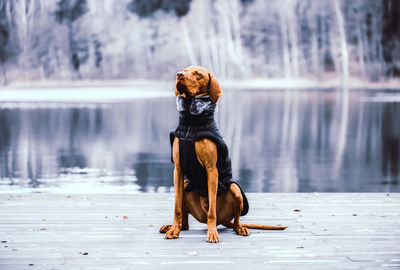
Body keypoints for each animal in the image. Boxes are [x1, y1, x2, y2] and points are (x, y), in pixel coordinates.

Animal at [158, 65, 286, 243]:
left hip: (234, 189)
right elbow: (176, 207)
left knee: (233, 219)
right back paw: (172, 227)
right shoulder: (178, 170)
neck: (191, 124)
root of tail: (224, 221)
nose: (179, 75)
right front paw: (173, 230)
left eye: (198, 74)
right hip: (185, 184)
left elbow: (212, 209)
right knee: (186, 224)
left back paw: (239, 228)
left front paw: (212, 233)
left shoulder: (212, 170)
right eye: (185, 70)